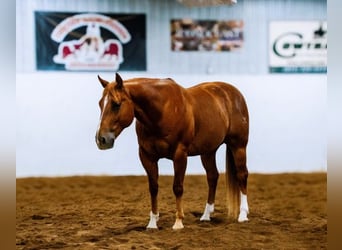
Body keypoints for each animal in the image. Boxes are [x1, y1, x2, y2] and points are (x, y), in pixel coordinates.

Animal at [95, 73, 250, 229]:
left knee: (241, 174)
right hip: (208, 151)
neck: (162, 111)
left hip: (238, 146)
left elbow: (177, 187)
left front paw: (178, 222)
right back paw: (206, 216)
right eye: (100, 103)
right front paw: (152, 223)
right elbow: (153, 188)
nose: (101, 139)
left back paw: (243, 215)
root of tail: (233, 93)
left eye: (116, 104)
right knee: (212, 176)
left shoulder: (180, 154)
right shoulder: (146, 156)